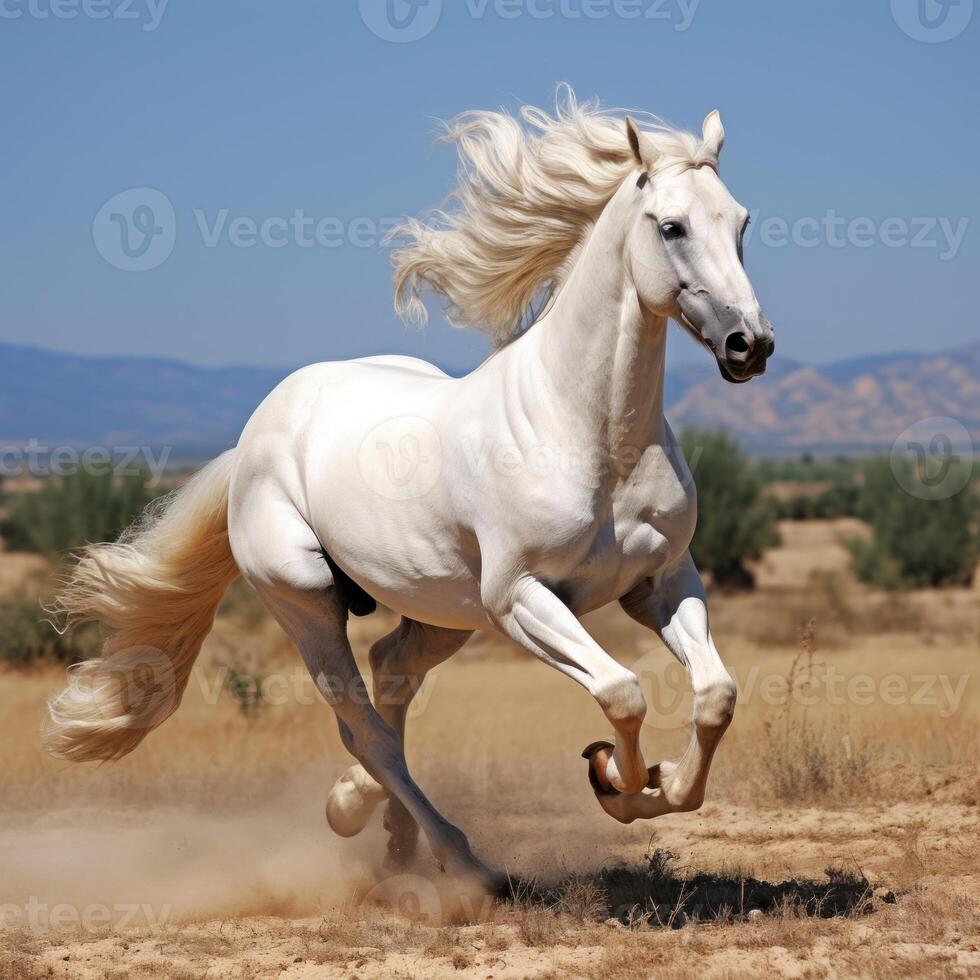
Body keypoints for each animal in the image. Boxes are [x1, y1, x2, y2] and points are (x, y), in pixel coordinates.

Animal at [47, 92, 772, 888]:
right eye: (671, 226)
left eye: (740, 222)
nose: (750, 345)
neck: (590, 435)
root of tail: (254, 440)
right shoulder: (520, 598)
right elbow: (623, 693)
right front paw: (615, 780)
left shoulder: (663, 581)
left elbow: (715, 697)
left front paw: (658, 784)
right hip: (307, 600)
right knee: (366, 727)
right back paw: (455, 859)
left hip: (442, 610)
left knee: (388, 685)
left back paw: (373, 822)